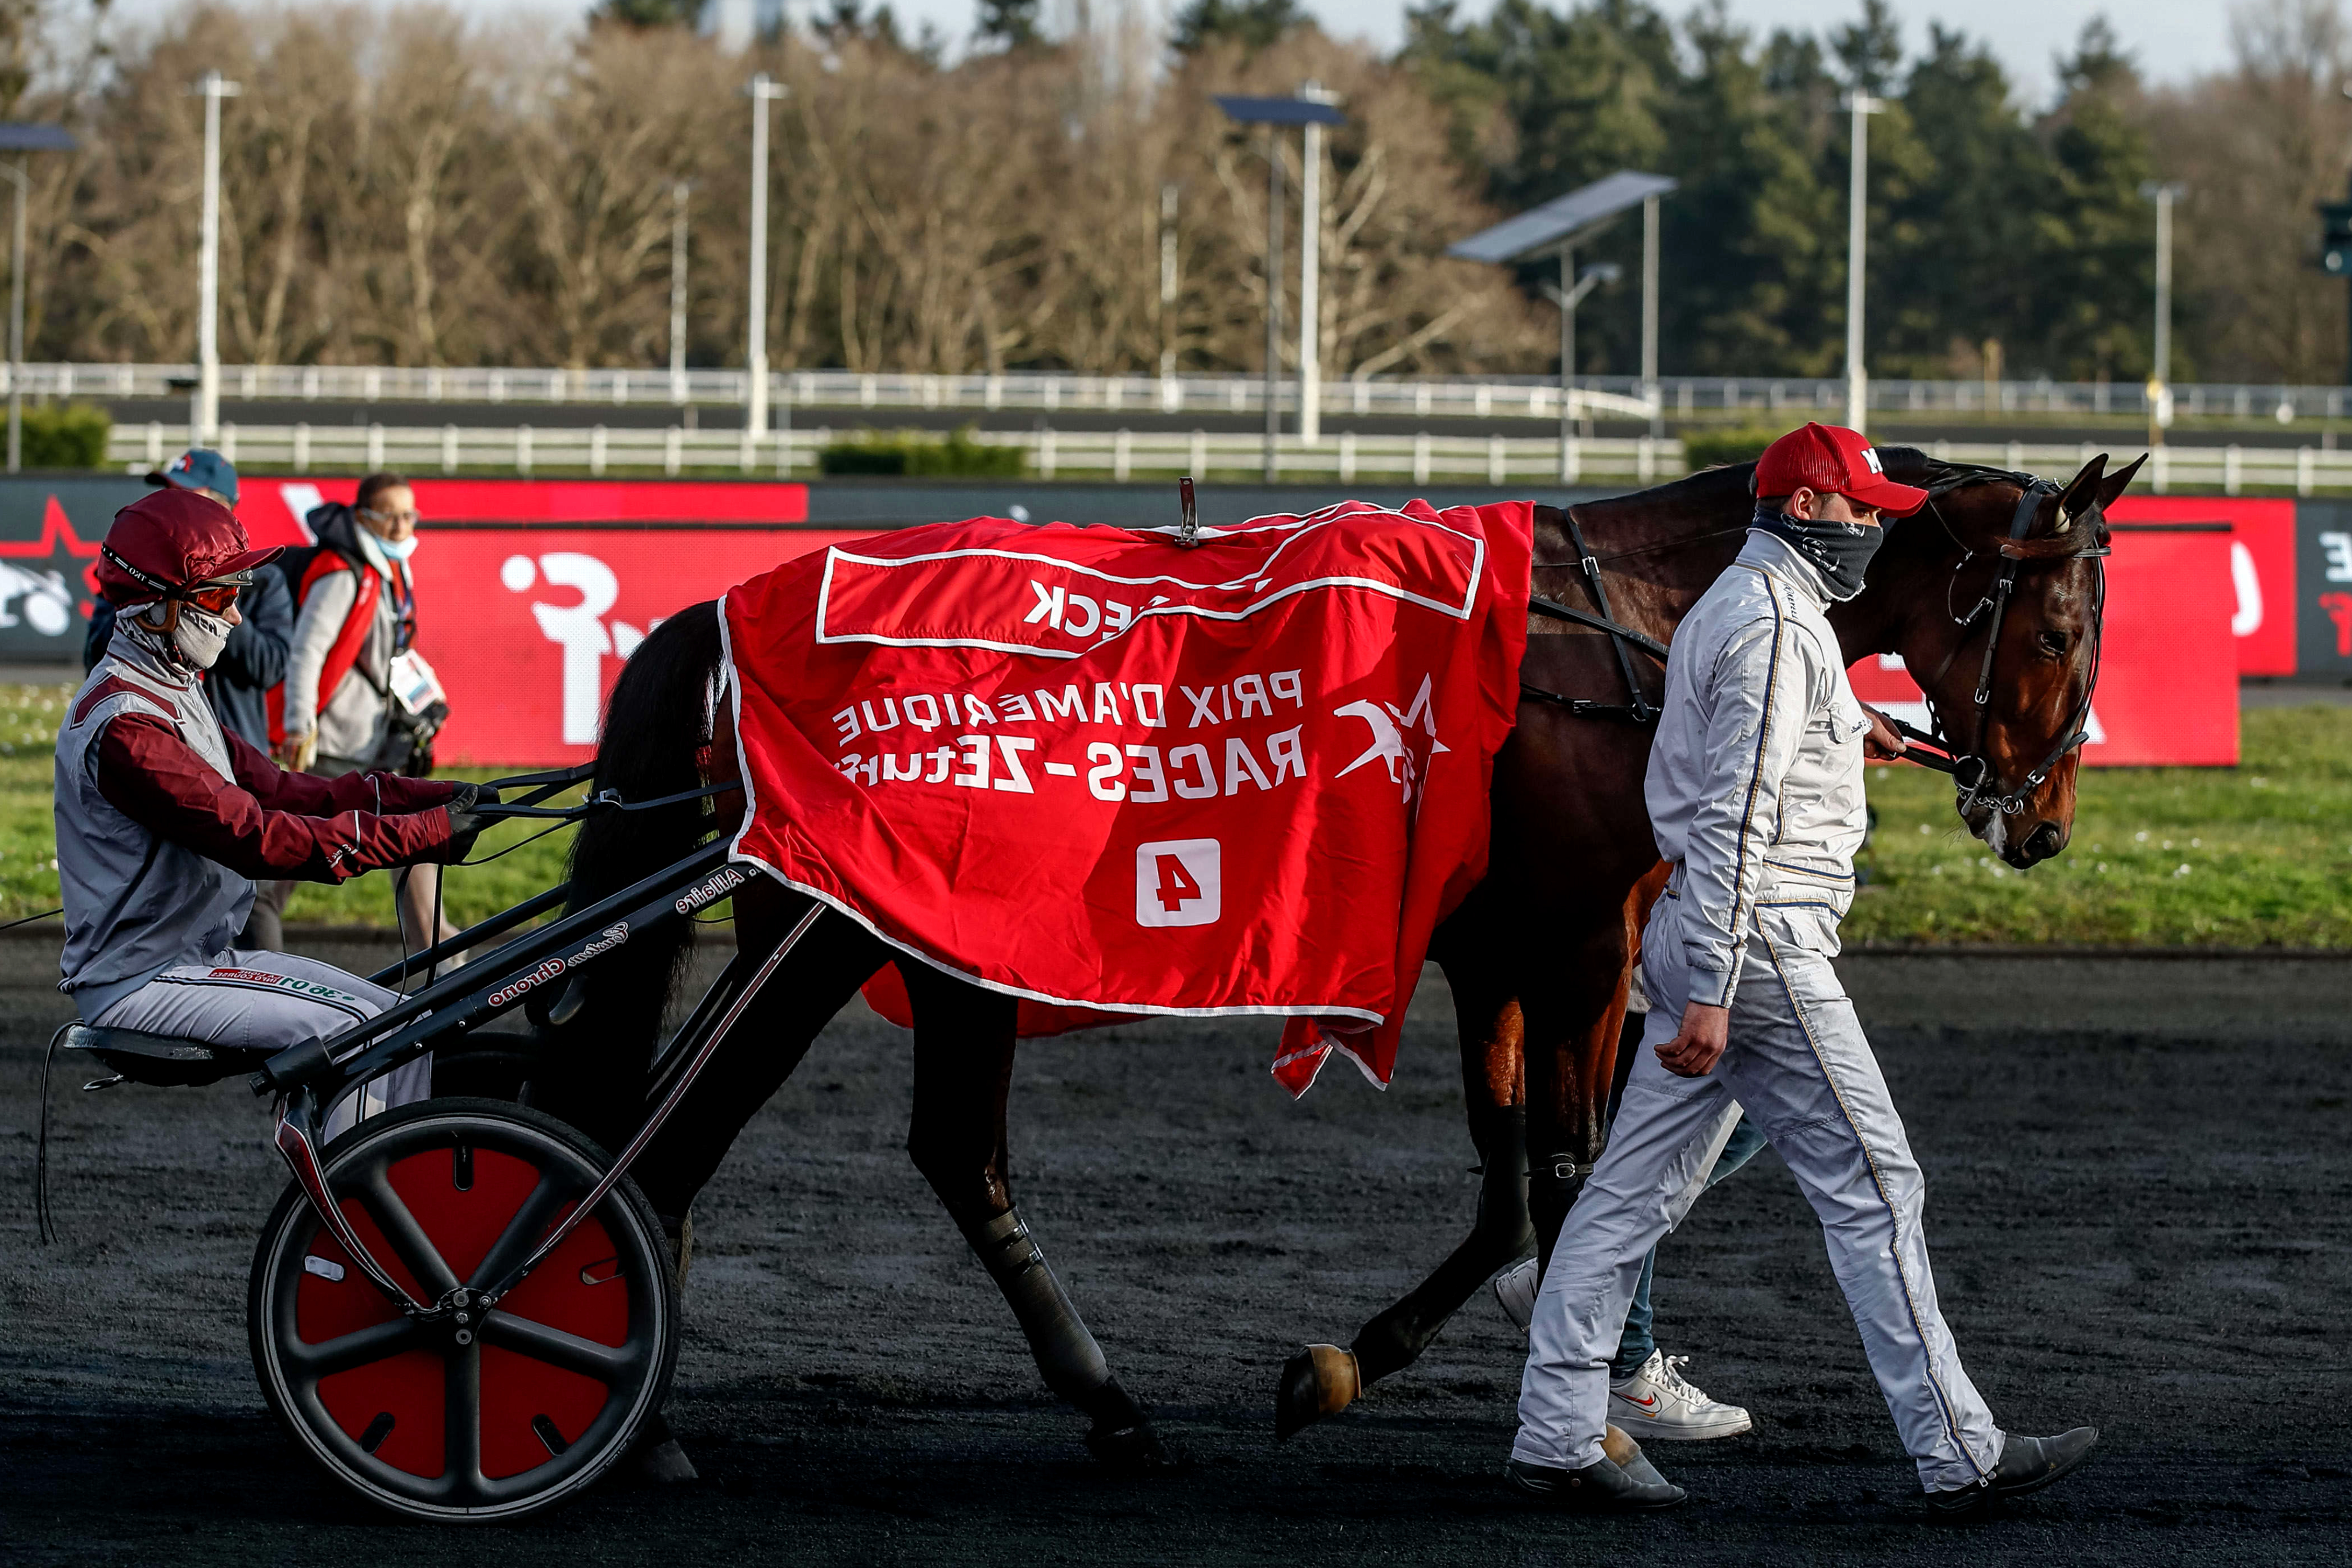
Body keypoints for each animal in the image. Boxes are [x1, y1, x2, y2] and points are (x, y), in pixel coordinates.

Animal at [529, 444, 2136, 1476]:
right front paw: (1597, 1419)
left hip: (943, 947)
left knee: (942, 1151)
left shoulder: (1493, 947)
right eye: (2058, 626)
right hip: (829, 932)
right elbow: (1567, 1170)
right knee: (674, 1136)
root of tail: (732, 613)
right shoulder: (1579, 938)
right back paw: (636, 1406)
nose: (2043, 819)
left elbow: (1508, 1186)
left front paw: (1352, 1362)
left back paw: (1099, 1405)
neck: (1620, 633)